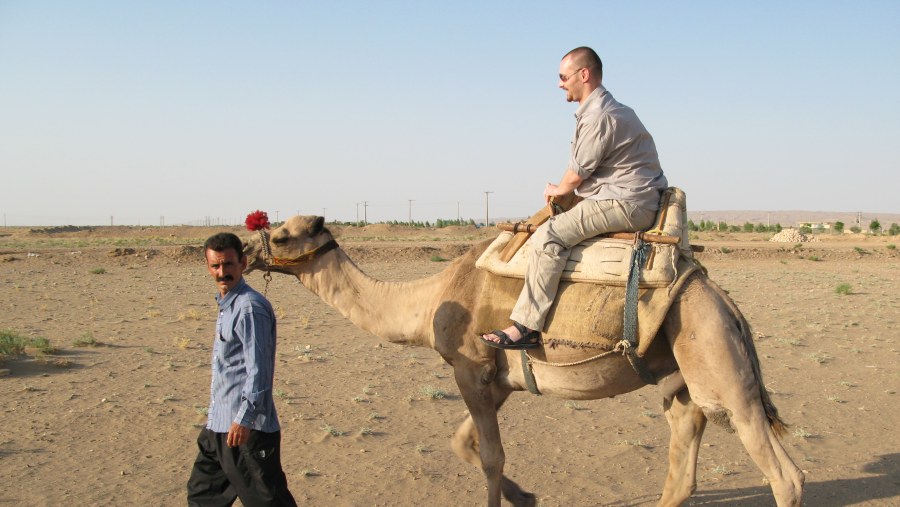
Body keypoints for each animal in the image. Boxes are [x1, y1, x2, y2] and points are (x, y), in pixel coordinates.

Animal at [243, 215, 804, 507]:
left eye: (284, 234)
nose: (244, 250)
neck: (432, 298)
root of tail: (722, 300)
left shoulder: (470, 368)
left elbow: (491, 457)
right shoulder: (496, 381)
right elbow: (463, 442)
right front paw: (527, 497)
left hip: (716, 361)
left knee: (784, 474)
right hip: (679, 376)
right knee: (683, 460)